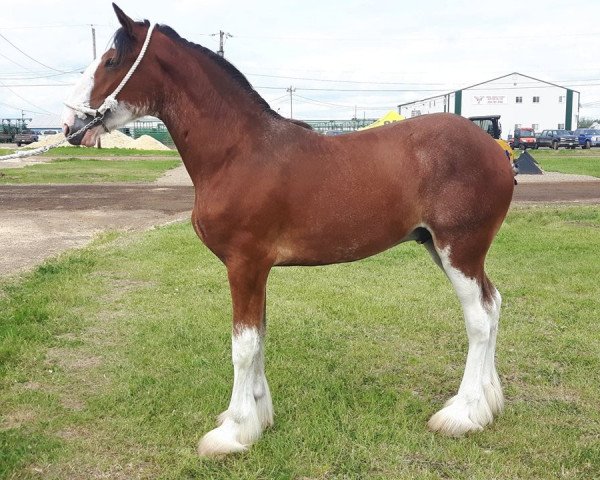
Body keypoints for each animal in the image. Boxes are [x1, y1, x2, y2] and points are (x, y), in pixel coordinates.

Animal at [62, 3, 516, 456]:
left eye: (111, 60)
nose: (68, 124)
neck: (239, 152)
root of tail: (495, 148)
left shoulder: (244, 265)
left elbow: (243, 346)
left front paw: (233, 433)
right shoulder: (256, 269)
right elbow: (259, 337)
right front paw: (256, 416)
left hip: (460, 248)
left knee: (478, 318)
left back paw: (463, 414)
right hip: (440, 247)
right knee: (493, 304)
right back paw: (488, 403)